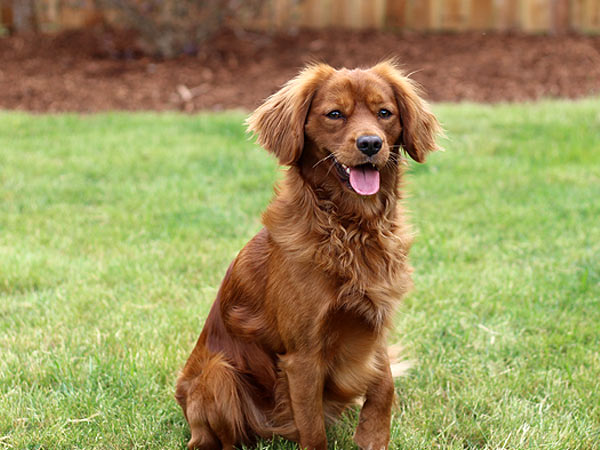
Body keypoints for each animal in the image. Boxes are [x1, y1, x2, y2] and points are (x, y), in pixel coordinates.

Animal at [176, 60, 438, 450]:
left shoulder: (373, 323)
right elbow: (313, 430)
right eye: (335, 114)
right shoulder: (303, 356)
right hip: (218, 375)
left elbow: (385, 384)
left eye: (384, 113)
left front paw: (372, 435)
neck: (350, 228)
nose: (371, 143)